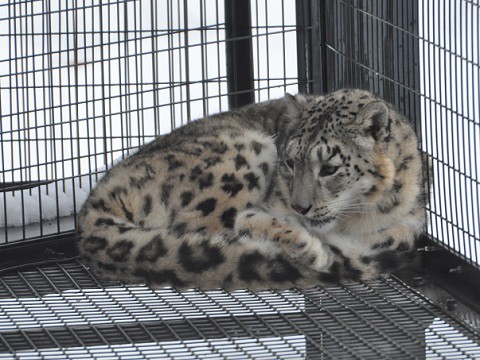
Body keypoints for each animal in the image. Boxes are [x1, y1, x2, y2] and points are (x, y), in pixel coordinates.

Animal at [77, 88, 426, 292]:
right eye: (289, 162)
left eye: (329, 167)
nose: (300, 207)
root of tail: (89, 210)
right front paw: (307, 244)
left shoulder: (407, 225)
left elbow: (393, 235)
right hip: (244, 153)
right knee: (205, 225)